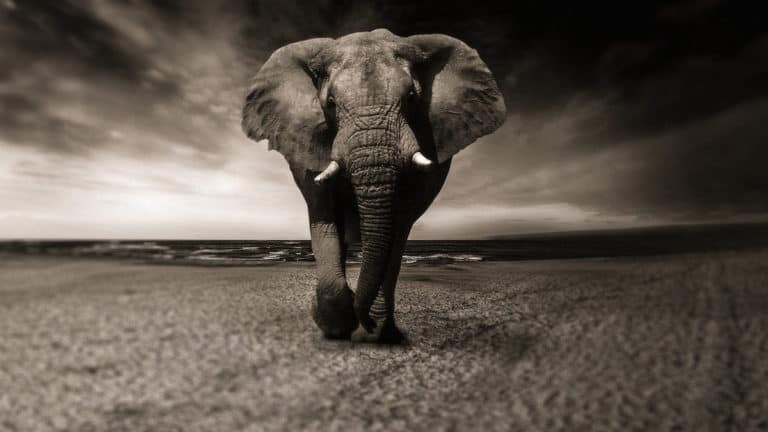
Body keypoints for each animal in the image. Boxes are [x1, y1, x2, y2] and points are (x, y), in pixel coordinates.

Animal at [241, 28, 505, 343]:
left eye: (412, 98)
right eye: (330, 103)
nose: (364, 321)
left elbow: (397, 226)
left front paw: (375, 329)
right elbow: (324, 217)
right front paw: (336, 326)